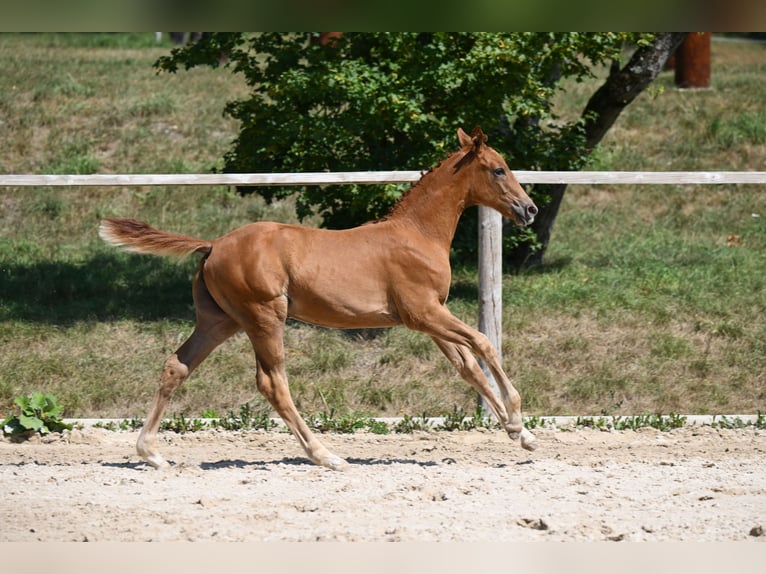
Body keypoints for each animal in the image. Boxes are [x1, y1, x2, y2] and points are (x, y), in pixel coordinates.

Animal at [99, 127, 539, 471]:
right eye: (498, 169)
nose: (530, 209)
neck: (417, 233)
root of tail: (213, 244)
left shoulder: (430, 318)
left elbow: (469, 367)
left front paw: (521, 435)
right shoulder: (424, 313)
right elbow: (483, 343)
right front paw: (518, 418)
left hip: (220, 321)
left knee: (177, 366)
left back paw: (151, 453)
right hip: (264, 317)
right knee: (272, 383)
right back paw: (326, 455)